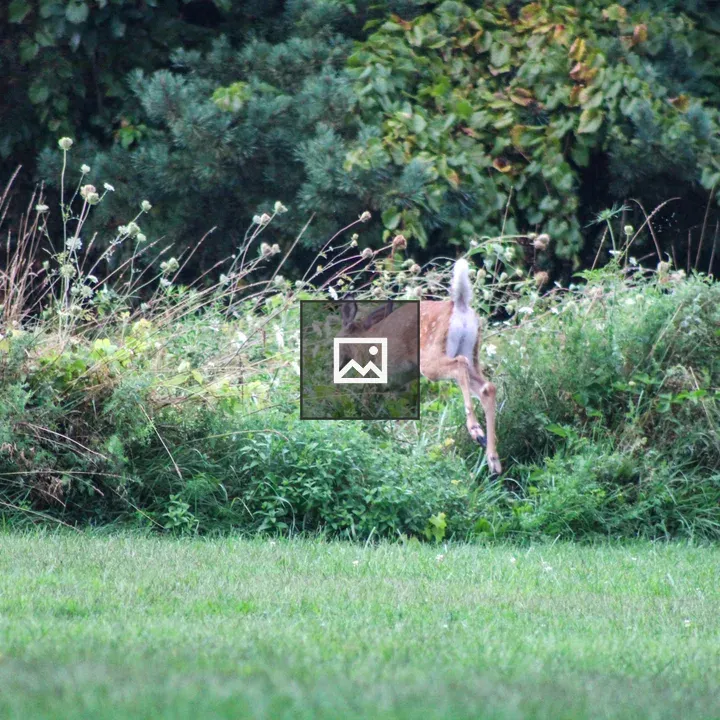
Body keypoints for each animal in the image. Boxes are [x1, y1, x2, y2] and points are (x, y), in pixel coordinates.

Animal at [338, 259, 502, 475]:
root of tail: (459, 304)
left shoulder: (372, 380)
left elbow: (367, 410)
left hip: (431, 355)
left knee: (459, 365)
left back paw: (476, 431)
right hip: (471, 351)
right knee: (487, 387)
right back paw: (493, 459)